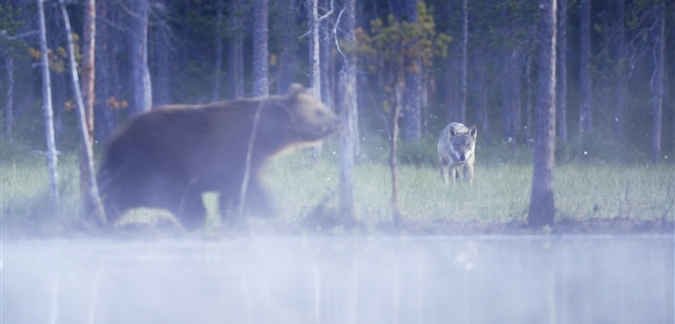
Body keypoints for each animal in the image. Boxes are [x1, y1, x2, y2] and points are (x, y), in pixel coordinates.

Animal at [96, 85, 338, 229]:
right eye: (320, 111)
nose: (337, 121)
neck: (265, 136)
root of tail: (115, 138)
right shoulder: (235, 155)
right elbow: (244, 191)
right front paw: (268, 211)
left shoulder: (250, 160)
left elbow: (241, 192)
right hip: (152, 165)